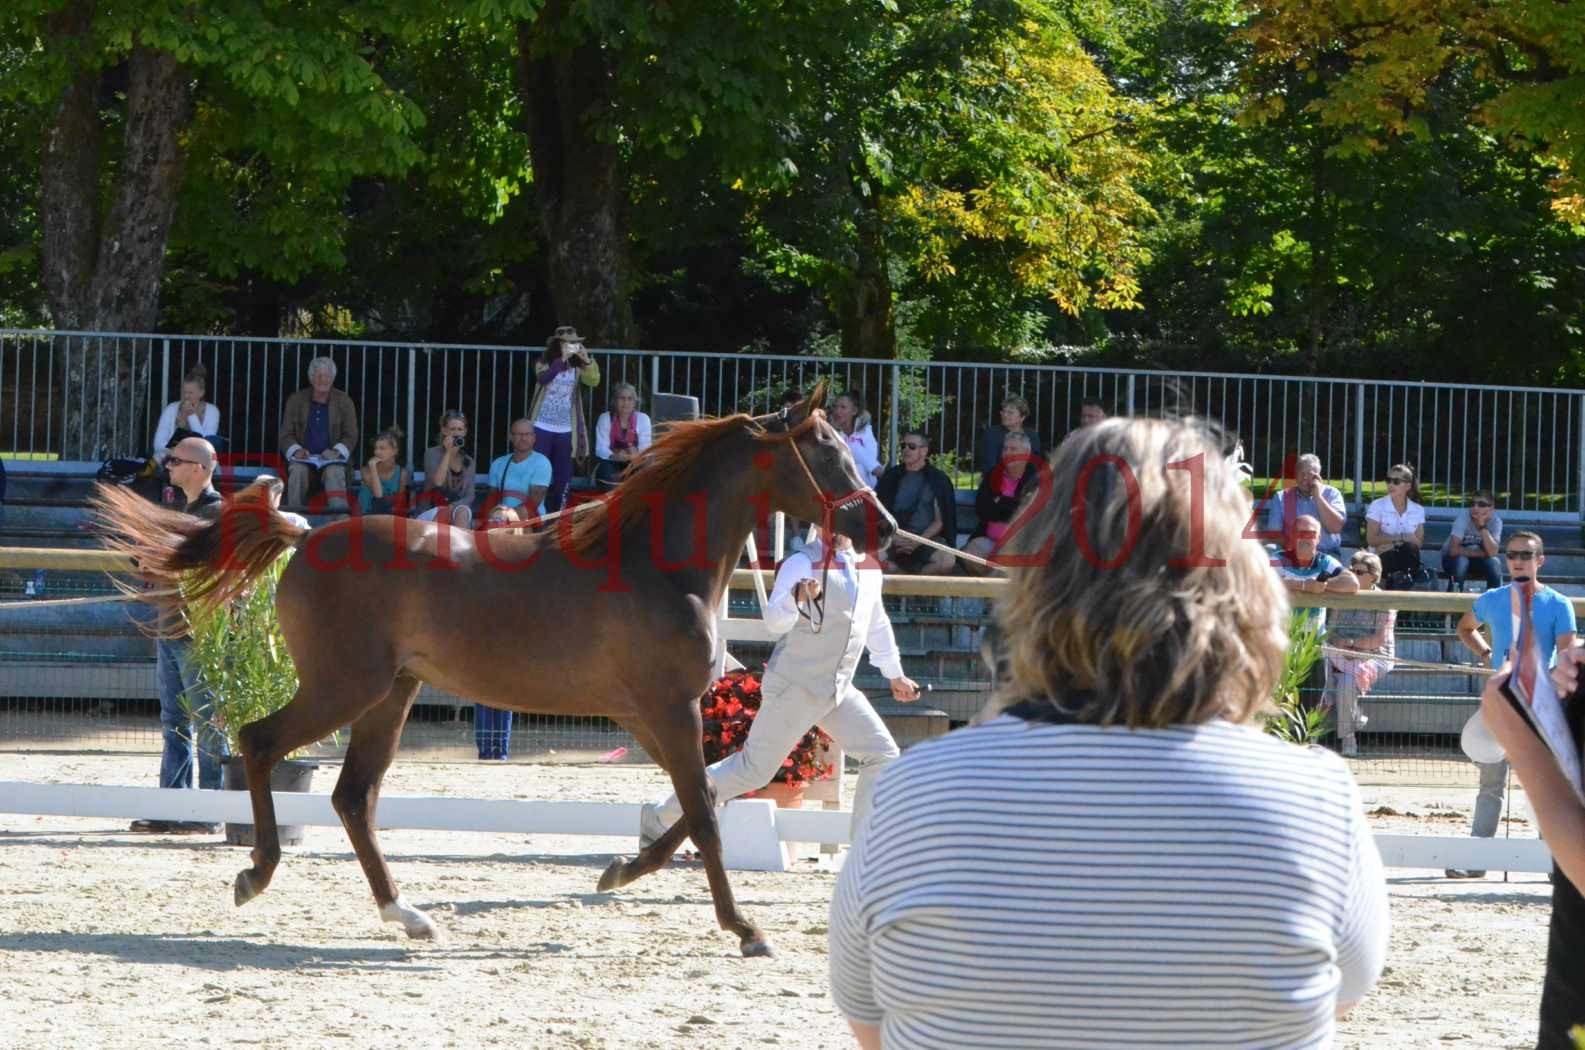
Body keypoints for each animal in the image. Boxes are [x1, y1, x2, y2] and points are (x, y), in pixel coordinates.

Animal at [95, 388, 893, 964]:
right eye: (825, 452)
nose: (880, 528)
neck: (655, 563)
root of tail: (305, 532)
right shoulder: (670, 710)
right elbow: (702, 811)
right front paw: (745, 929)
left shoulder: (649, 715)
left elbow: (701, 805)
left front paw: (618, 873)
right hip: (344, 687)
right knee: (262, 745)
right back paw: (256, 875)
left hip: (391, 694)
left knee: (354, 797)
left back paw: (407, 915)